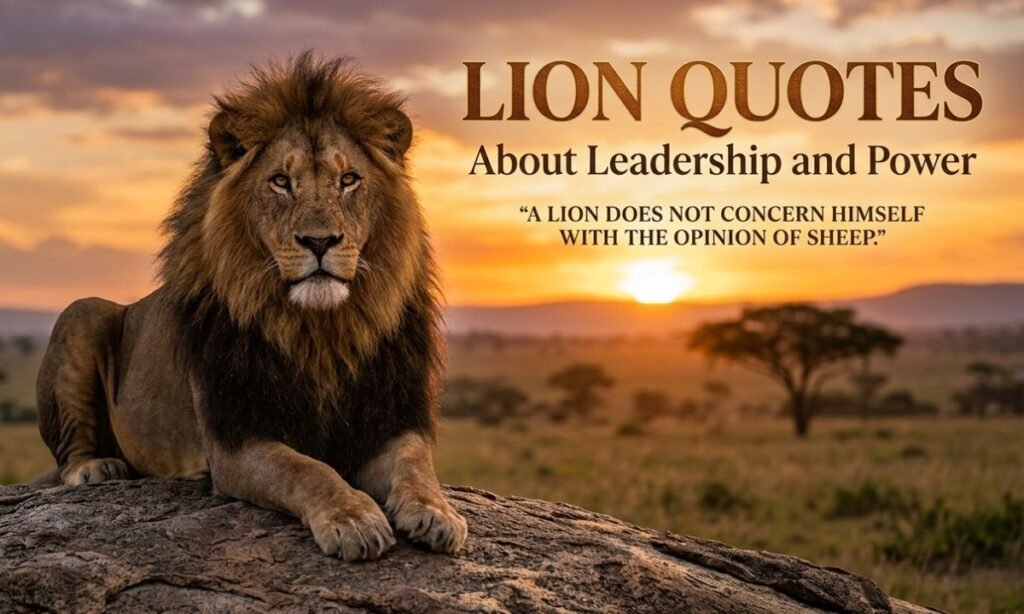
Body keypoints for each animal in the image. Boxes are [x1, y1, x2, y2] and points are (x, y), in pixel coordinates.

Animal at [35, 52, 467, 561]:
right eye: (280, 181)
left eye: (348, 180)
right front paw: (354, 519)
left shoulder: (392, 419)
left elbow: (416, 467)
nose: (319, 241)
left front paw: (438, 514)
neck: (322, 330)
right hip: (80, 313)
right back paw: (96, 468)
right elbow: (307, 470)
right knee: (70, 454)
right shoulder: (237, 437)